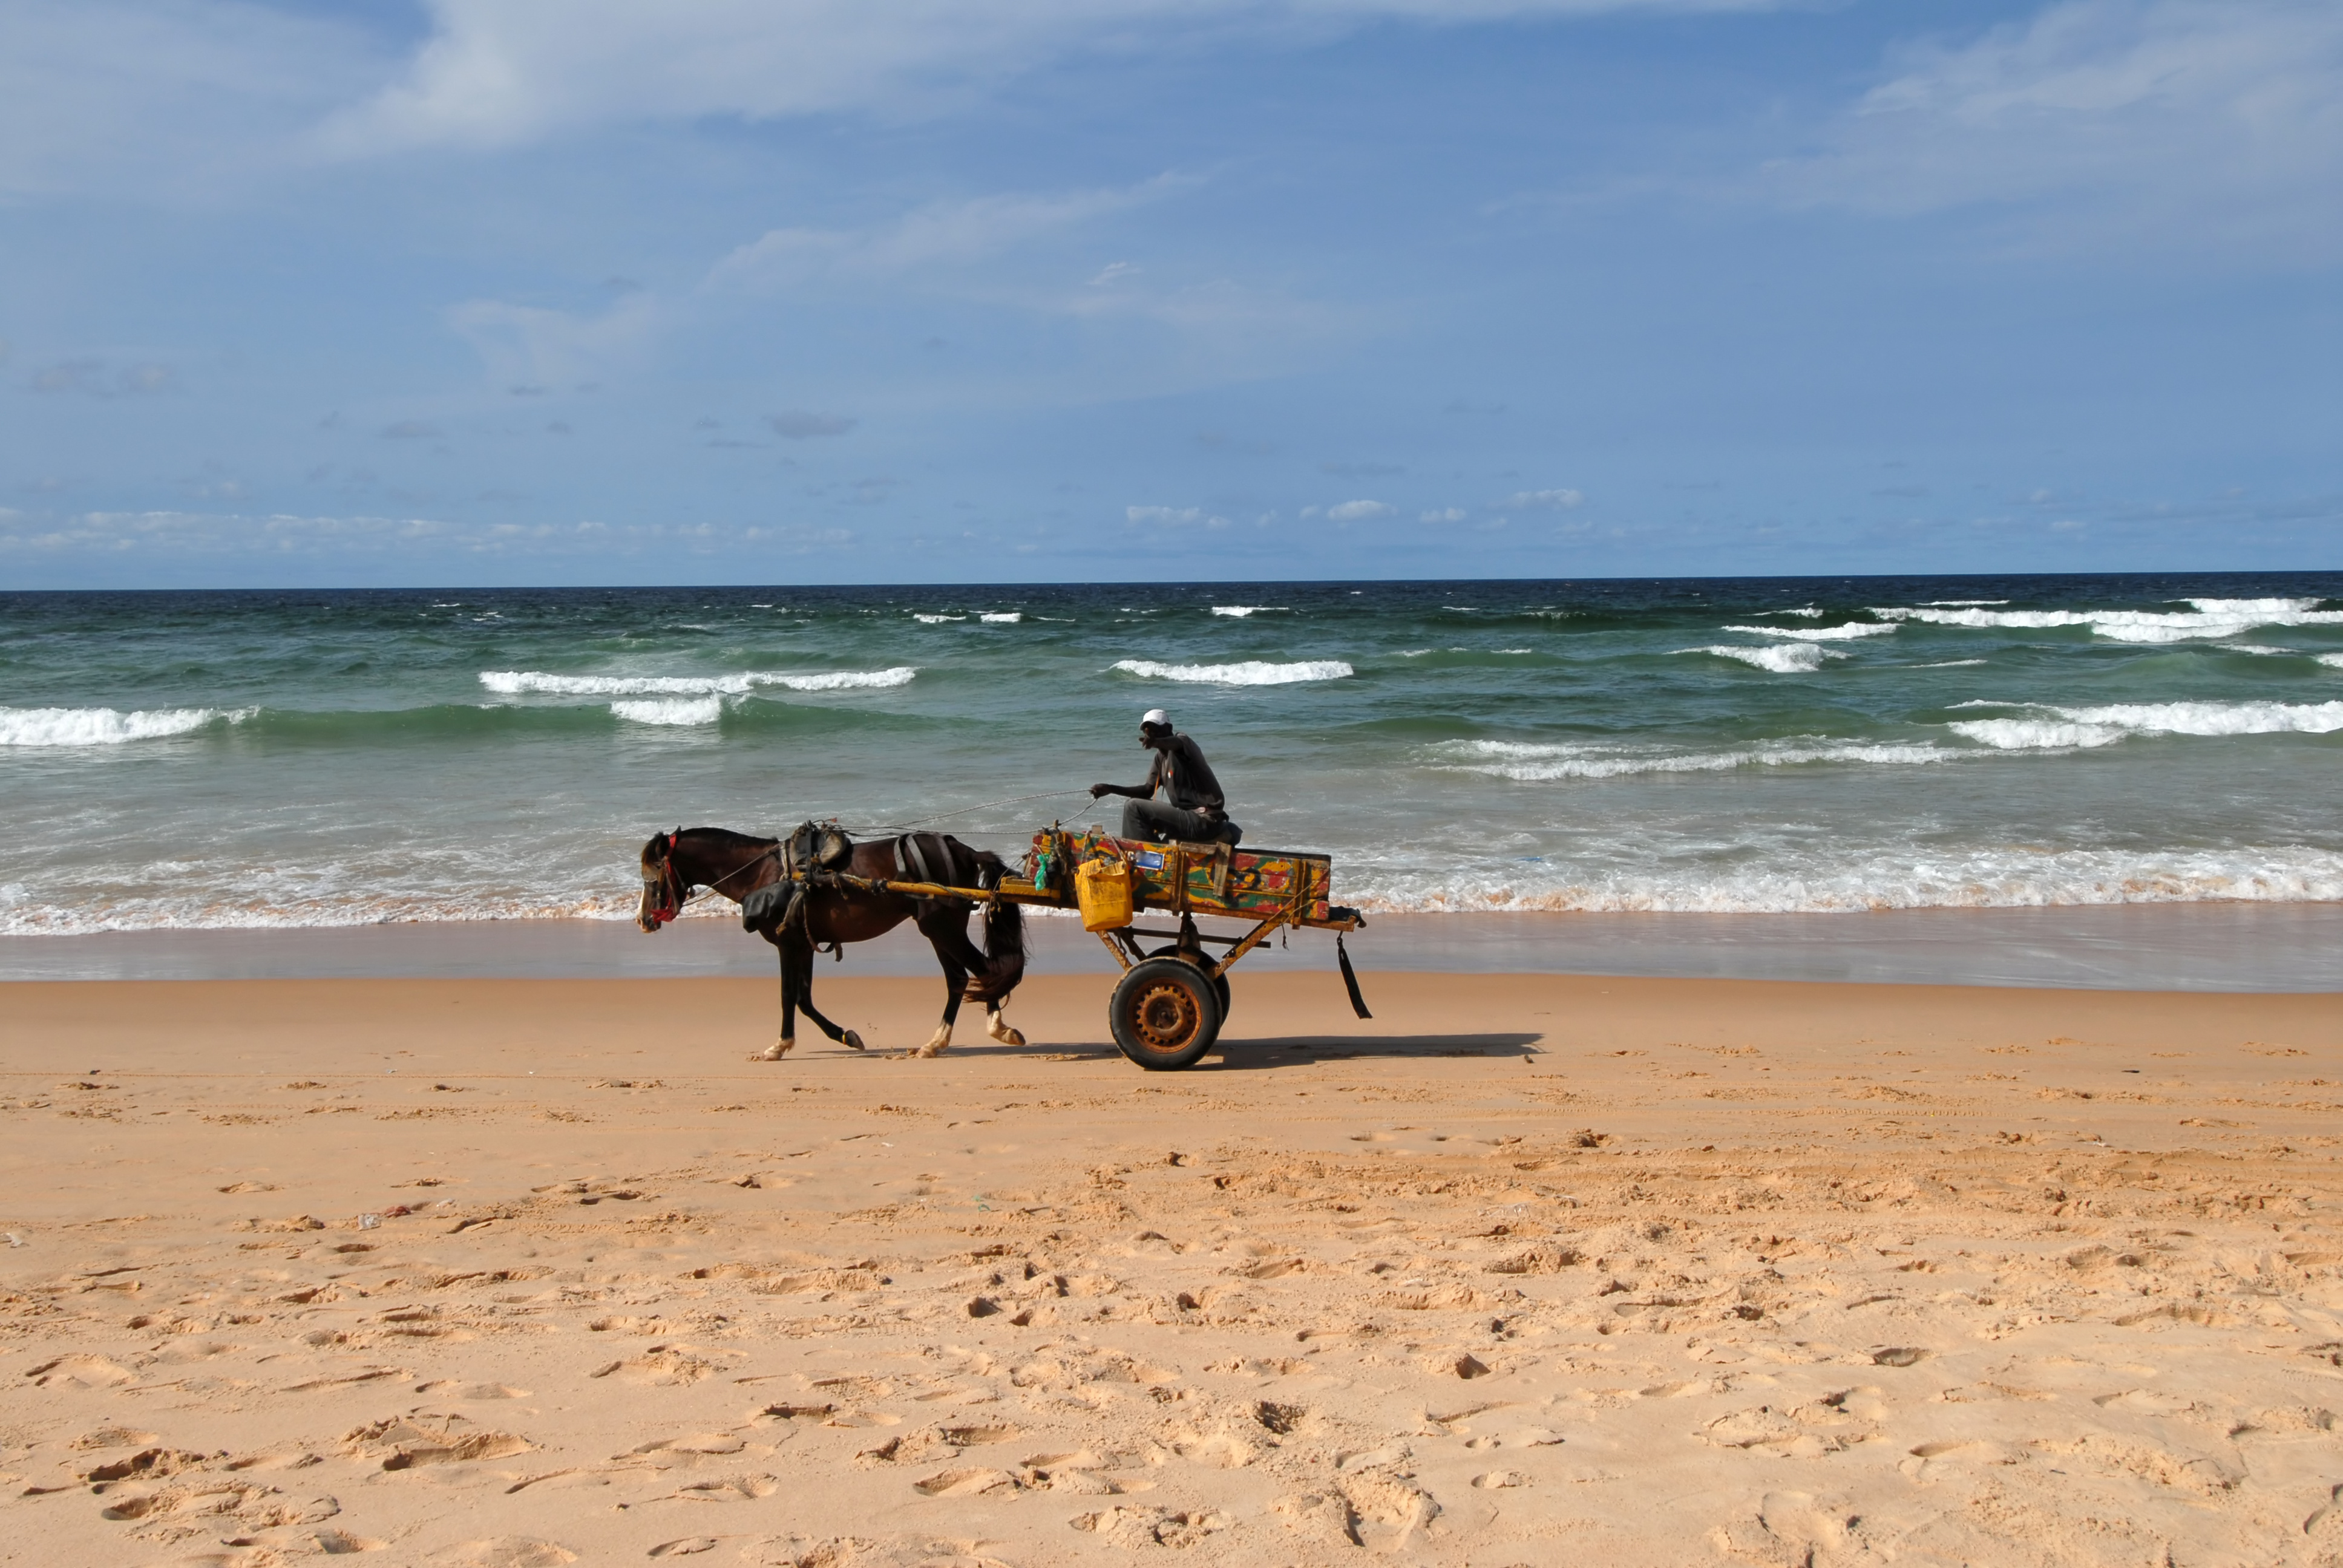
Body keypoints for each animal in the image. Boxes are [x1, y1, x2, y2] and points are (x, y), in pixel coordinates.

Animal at [632, 825, 1026, 1059]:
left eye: (653, 875)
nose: (642, 920)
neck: (765, 874)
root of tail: (966, 852)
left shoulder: (787, 943)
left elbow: (788, 995)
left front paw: (780, 1045)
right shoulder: (804, 943)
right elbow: (804, 999)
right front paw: (845, 1036)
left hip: (941, 926)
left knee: (980, 972)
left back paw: (990, 1030)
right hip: (939, 929)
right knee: (963, 978)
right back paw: (948, 1038)